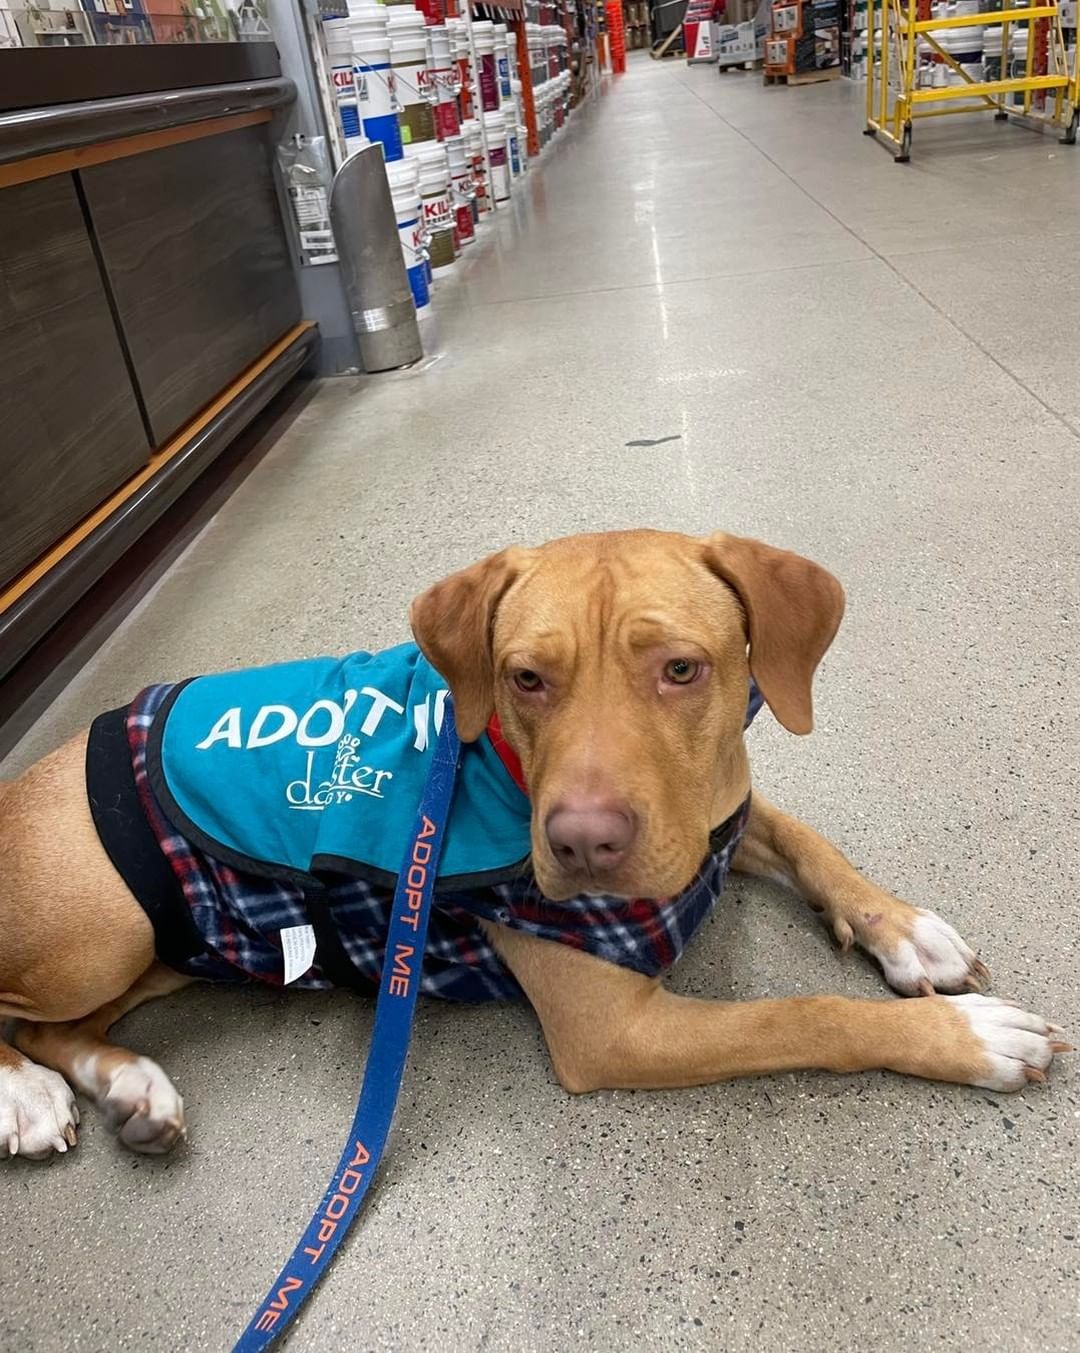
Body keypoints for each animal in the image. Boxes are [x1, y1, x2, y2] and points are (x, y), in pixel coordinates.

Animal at [0, 524, 1066, 1152]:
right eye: (525, 678)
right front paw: (964, 1036)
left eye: (682, 668)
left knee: (58, 1026)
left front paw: (904, 928)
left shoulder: (712, 814)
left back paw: (130, 1087)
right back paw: (28, 1098)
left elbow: (809, 840)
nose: (584, 844)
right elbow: (800, 1016)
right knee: (17, 1017)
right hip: (103, 931)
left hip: (171, 944)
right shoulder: (616, 1031)